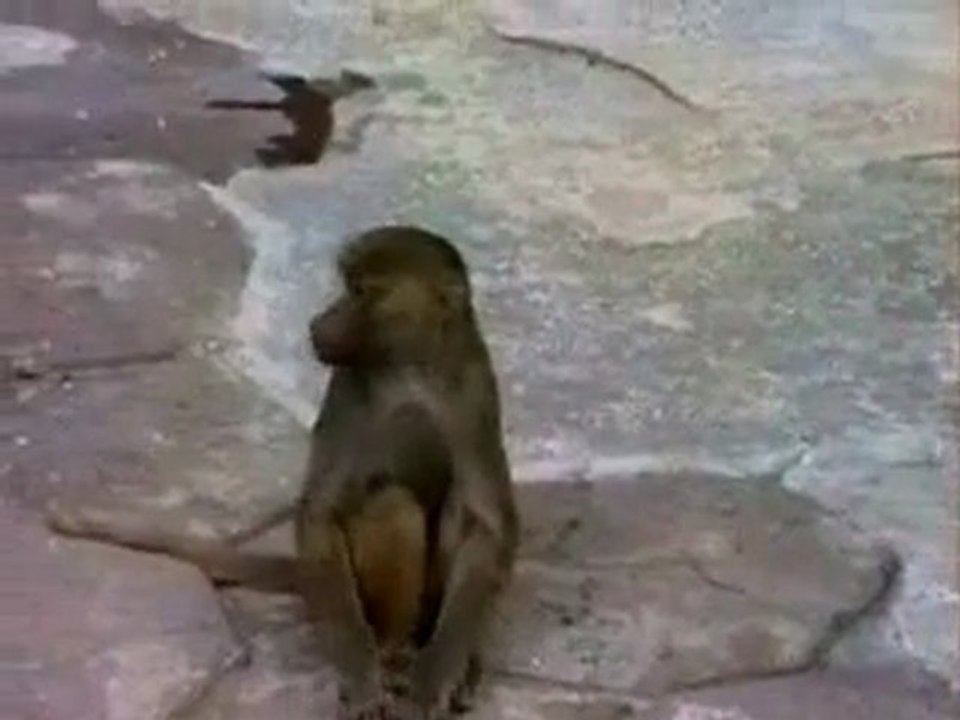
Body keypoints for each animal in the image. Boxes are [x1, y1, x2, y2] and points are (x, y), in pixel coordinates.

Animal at [46, 226, 519, 720]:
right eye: (348, 286)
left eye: (360, 292)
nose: (319, 321)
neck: (411, 365)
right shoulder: (347, 386)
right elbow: (319, 512)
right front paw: (361, 675)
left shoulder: (474, 391)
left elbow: (490, 525)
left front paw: (440, 671)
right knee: (392, 505)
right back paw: (391, 651)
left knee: (457, 511)